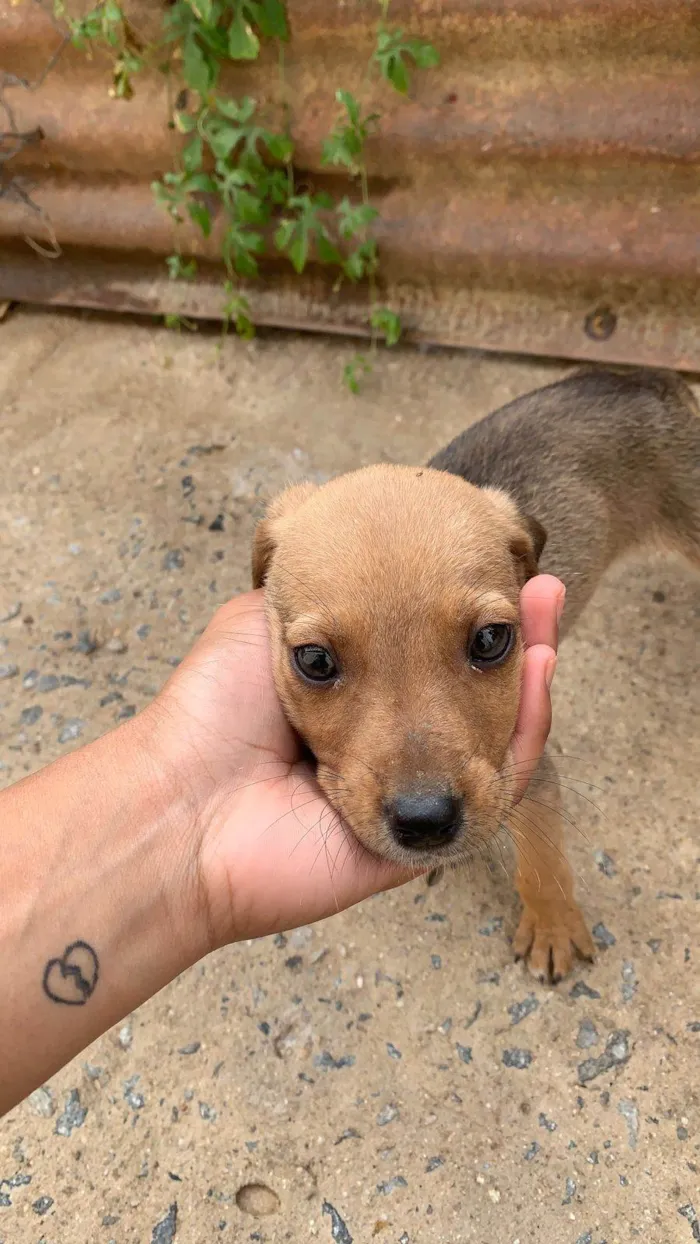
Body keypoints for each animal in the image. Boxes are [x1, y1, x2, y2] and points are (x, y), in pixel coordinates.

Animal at [253, 368, 700, 980]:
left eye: (490, 640)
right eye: (315, 660)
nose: (426, 822)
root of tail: (642, 375)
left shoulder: (533, 778)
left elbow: (542, 862)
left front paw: (552, 926)